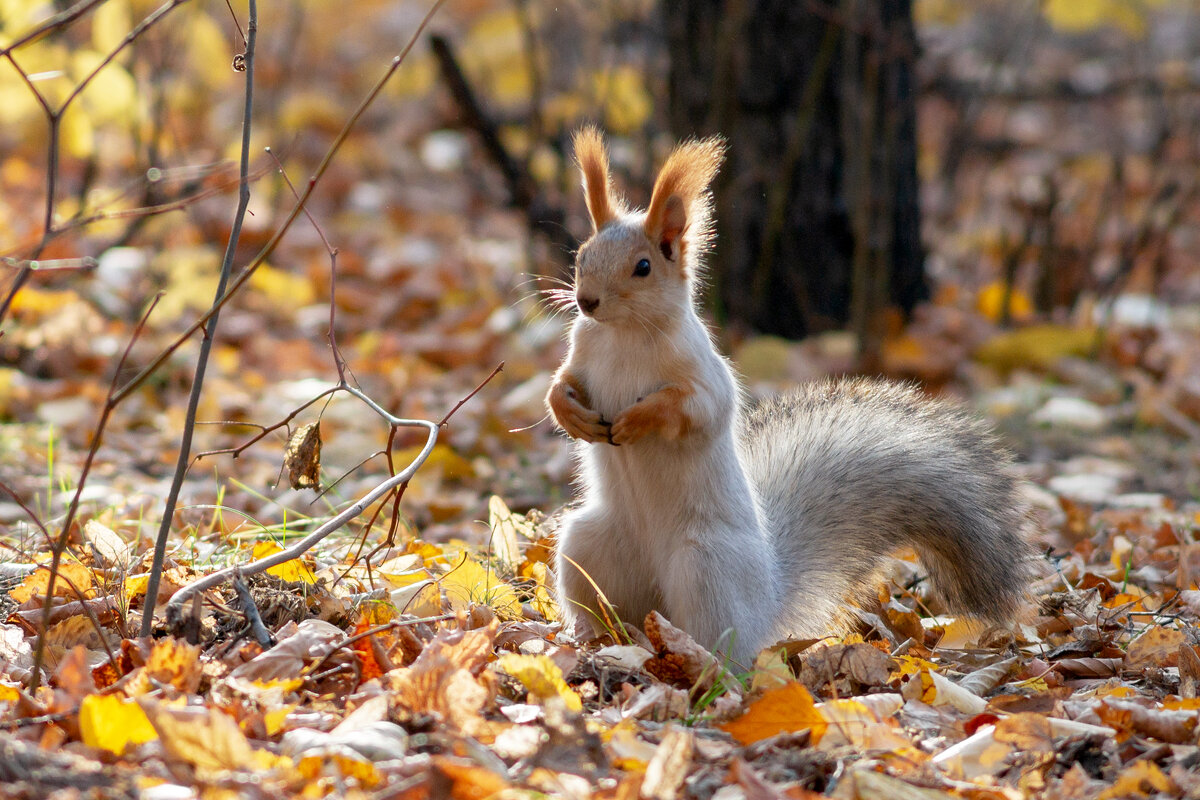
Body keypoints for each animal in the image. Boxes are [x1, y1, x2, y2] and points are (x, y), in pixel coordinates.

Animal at [549, 128, 1036, 666]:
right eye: (581, 255)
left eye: (643, 267)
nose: (586, 301)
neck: (624, 334)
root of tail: (768, 597)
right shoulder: (582, 350)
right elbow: (563, 381)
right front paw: (569, 413)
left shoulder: (702, 374)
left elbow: (693, 409)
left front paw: (638, 419)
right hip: (588, 546)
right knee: (611, 609)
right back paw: (592, 640)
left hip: (705, 569)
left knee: (726, 646)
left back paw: (700, 661)